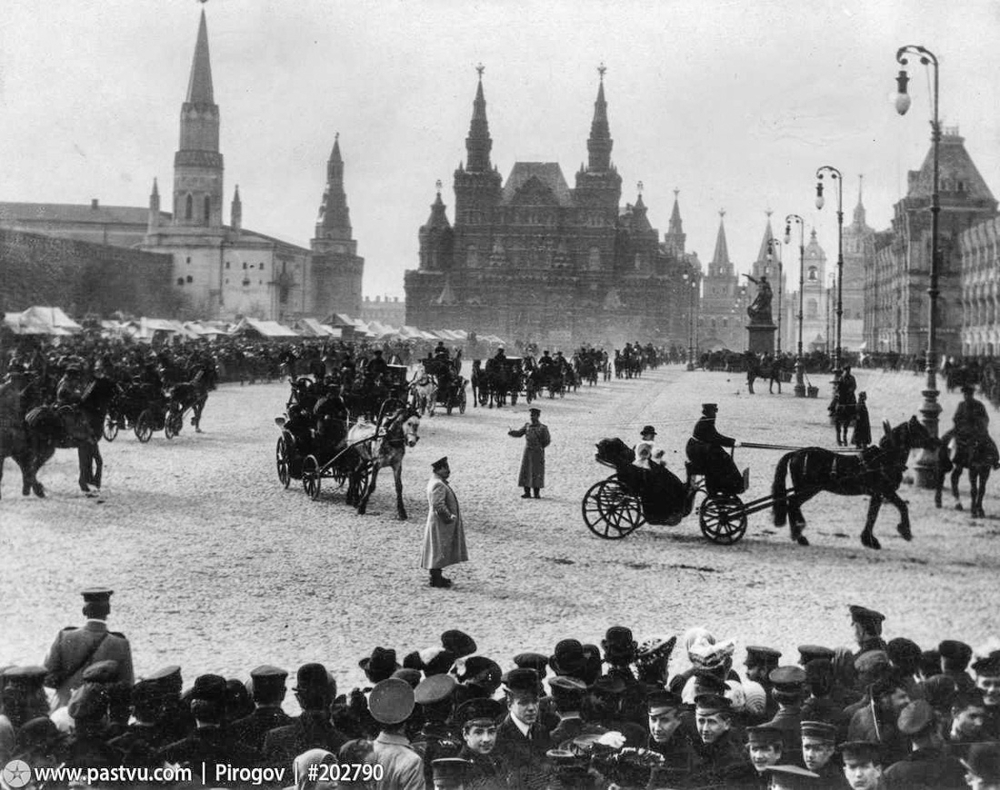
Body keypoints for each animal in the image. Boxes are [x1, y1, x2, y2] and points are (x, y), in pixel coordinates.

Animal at [772, 418, 936, 552]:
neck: (884, 459)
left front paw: (868, 539)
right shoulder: (885, 491)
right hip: (807, 490)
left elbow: (872, 515)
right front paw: (904, 531)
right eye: (921, 430)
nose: (936, 443)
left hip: (805, 490)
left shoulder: (878, 494)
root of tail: (795, 453)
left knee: (793, 504)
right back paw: (799, 534)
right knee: (793, 503)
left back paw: (799, 531)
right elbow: (900, 507)